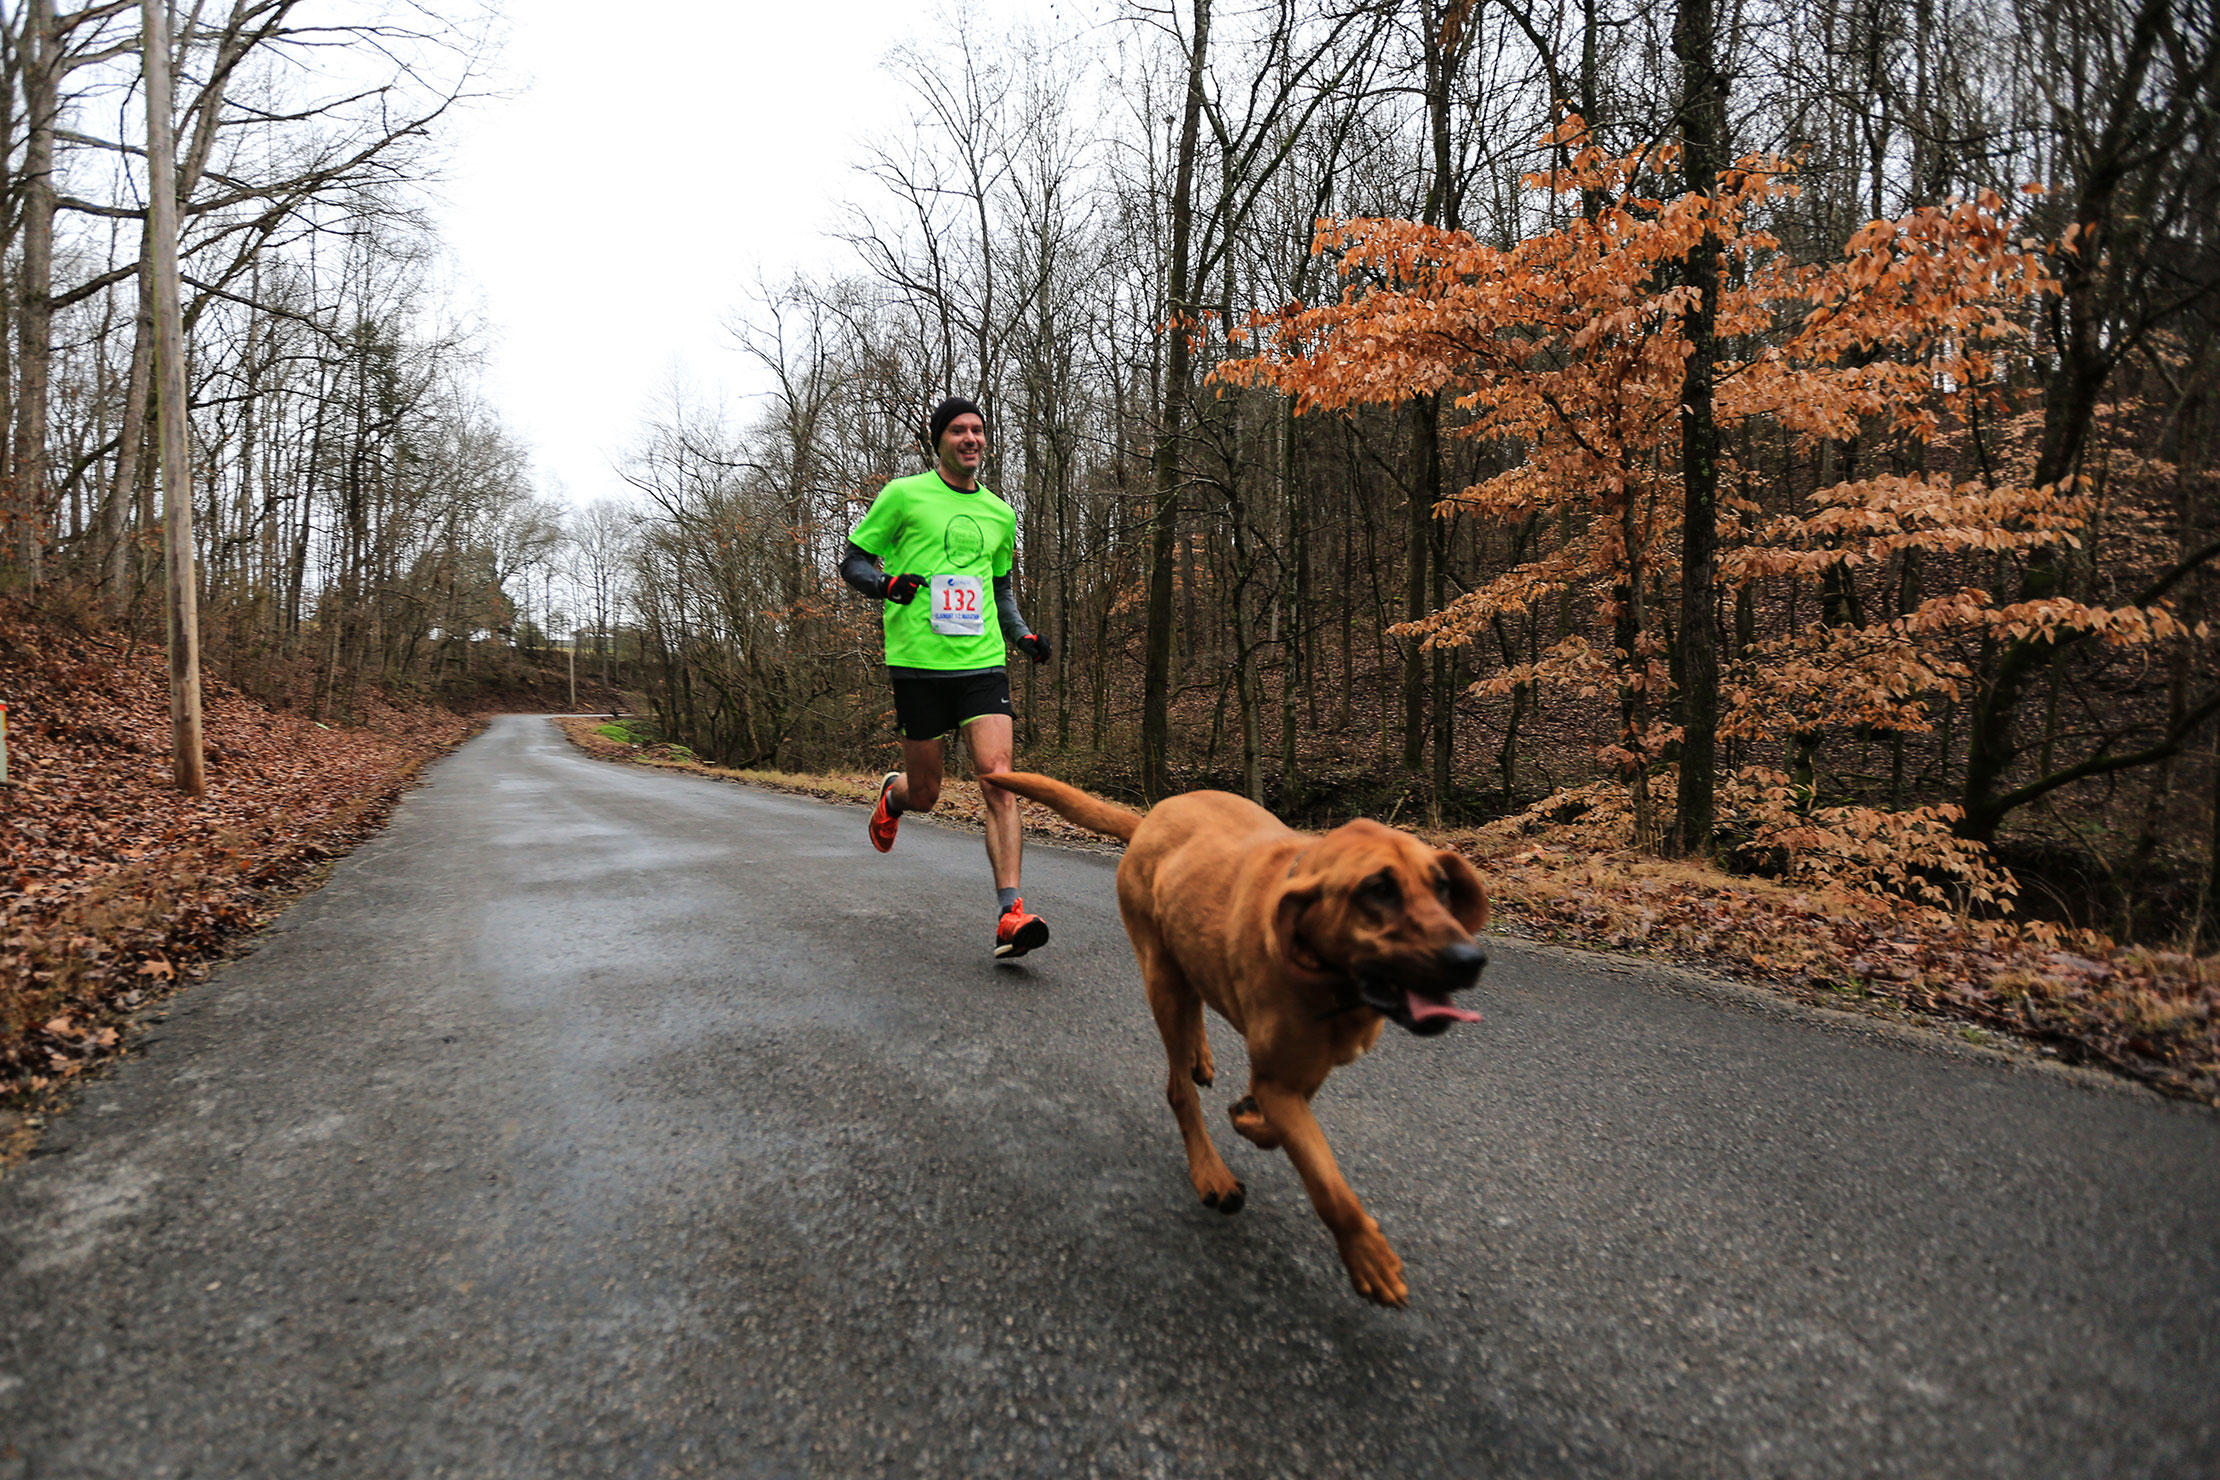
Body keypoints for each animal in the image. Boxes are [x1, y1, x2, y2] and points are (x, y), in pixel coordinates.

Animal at [976, 776, 1482, 1304]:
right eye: (1378, 890)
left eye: (1442, 886)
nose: (1470, 959)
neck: (1331, 977)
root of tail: (1150, 820)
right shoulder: (1280, 1079)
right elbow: (1326, 1182)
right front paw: (1369, 1256)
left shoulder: (1303, 1069)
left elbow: (1280, 1125)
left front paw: (1249, 1116)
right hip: (1161, 977)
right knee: (1178, 1090)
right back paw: (1210, 1171)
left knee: (1195, 1006)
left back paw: (1200, 1057)